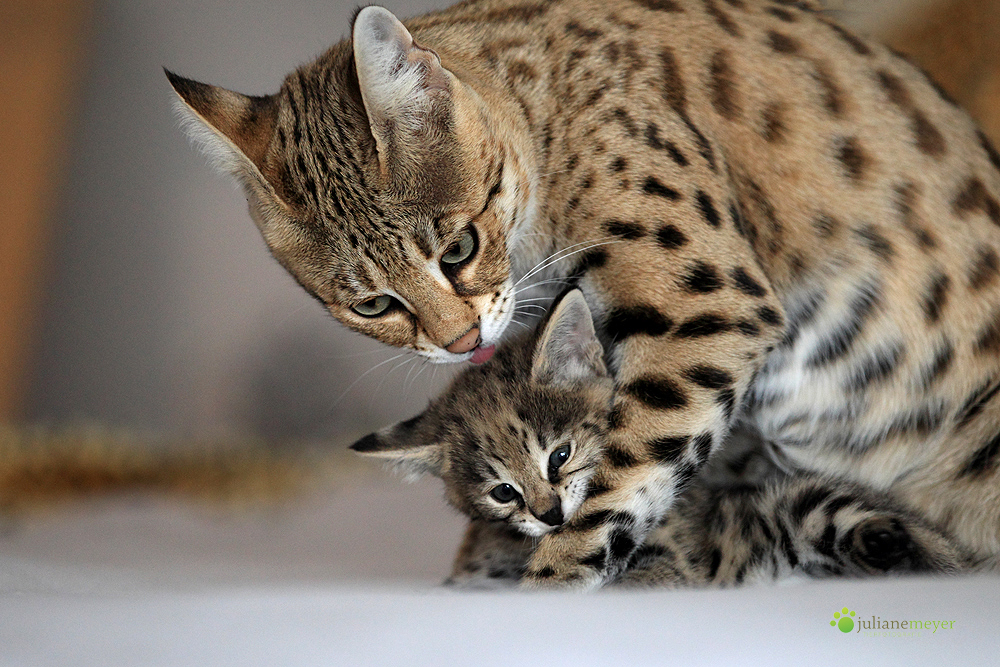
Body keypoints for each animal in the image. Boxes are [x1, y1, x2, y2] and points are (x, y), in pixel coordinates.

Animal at [168, 0, 1000, 584]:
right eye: (372, 305)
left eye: (458, 249)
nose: (459, 344)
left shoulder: (709, 309)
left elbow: (618, 477)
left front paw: (550, 583)